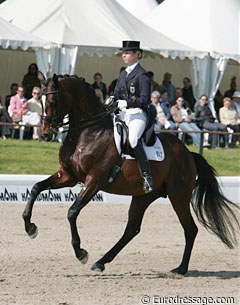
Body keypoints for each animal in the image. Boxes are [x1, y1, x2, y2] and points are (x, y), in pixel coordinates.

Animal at [22, 75, 238, 274]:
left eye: (53, 100)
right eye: (40, 100)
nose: (45, 133)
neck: (88, 132)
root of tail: (188, 154)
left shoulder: (94, 180)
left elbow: (72, 212)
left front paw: (81, 253)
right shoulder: (69, 175)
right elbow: (36, 188)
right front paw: (30, 227)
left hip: (179, 196)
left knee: (190, 229)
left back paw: (180, 269)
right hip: (143, 196)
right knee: (132, 229)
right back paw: (101, 262)